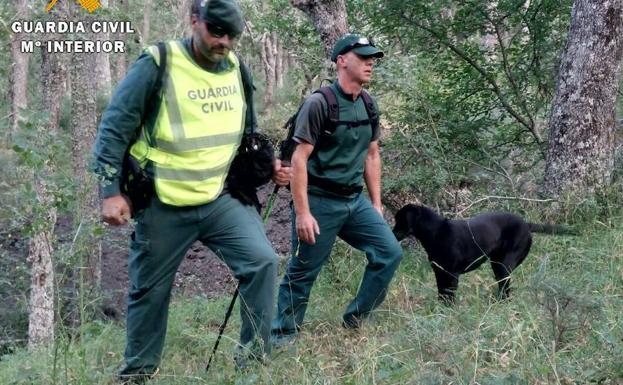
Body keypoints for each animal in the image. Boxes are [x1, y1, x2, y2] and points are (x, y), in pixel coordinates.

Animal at [394, 206, 576, 302]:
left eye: (399, 220)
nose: (392, 232)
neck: (437, 232)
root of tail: (526, 224)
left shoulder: (451, 274)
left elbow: (449, 295)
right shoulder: (440, 273)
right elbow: (442, 294)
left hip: (504, 265)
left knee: (506, 289)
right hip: (496, 264)